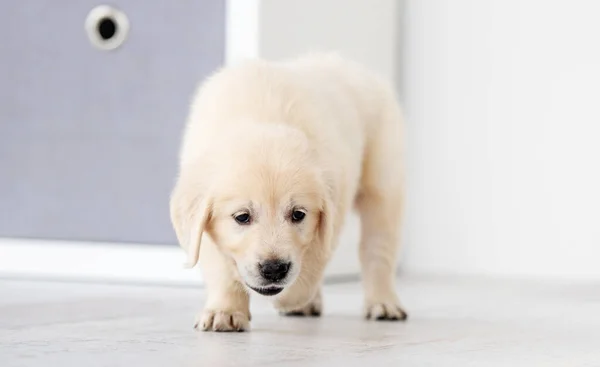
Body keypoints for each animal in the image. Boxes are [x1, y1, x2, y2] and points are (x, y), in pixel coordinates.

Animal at [168, 52, 408, 334]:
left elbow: (312, 259)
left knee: (378, 248)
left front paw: (289, 297)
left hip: (383, 185)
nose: (274, 270)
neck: (259, 115)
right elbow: (221, 267)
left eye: (298, 214)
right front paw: (224, 312)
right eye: (242, 217)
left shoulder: (331, 210)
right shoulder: (202, 220)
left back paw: (383, 303)